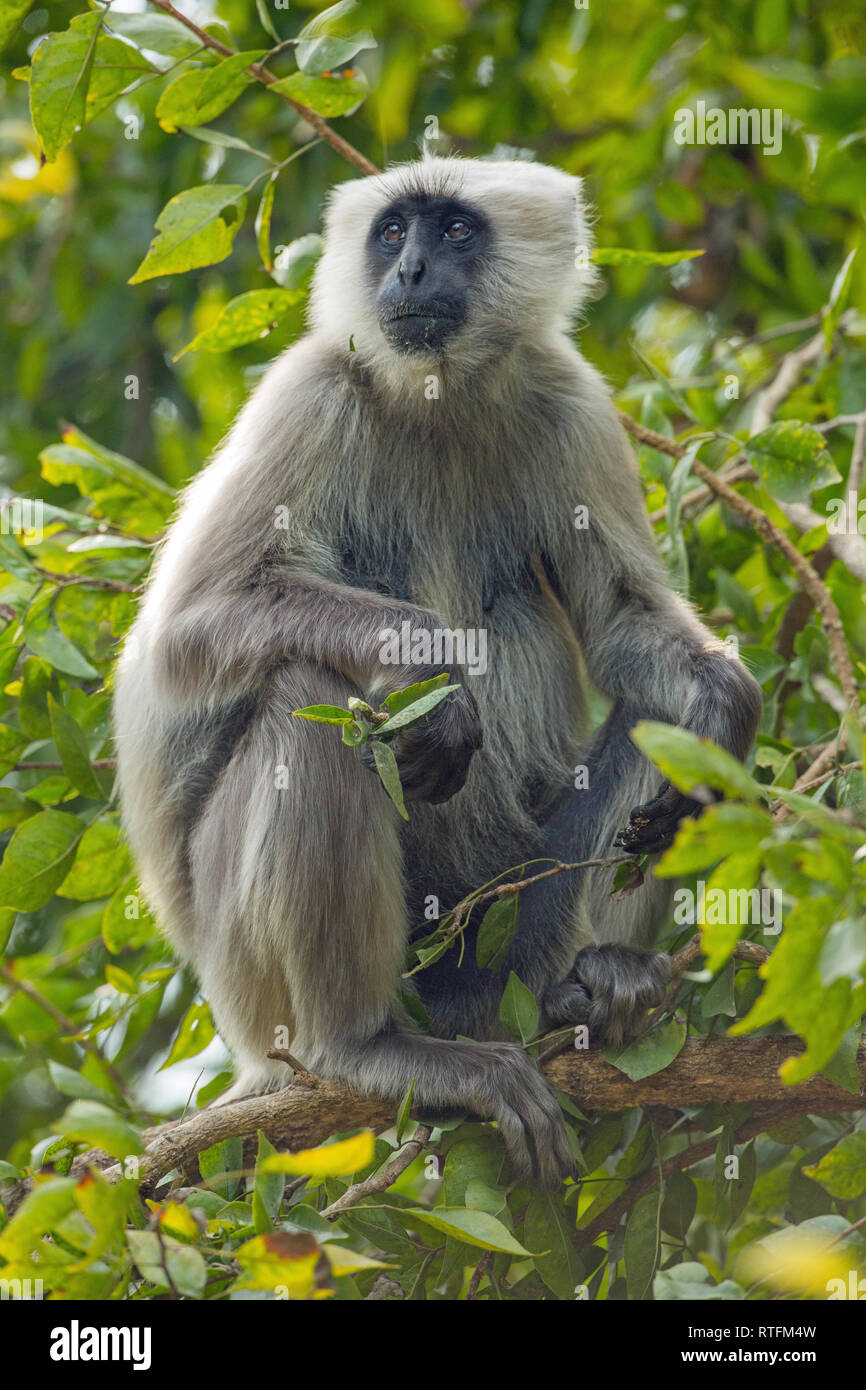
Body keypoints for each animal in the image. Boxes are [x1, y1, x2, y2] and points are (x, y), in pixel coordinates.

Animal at [114, 156, 761, 1189]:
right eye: (393, 234)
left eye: (454, 231)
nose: (410, 272)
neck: (440, 394)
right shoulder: (313, 388)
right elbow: (189, 629)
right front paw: (440, 685)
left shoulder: (571, 399)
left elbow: (627, 628)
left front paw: (727, 712)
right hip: (252, 985)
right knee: (306, 694)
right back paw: (365, 1048)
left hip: (506, 935)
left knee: (642, 720)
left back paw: (592, 985)